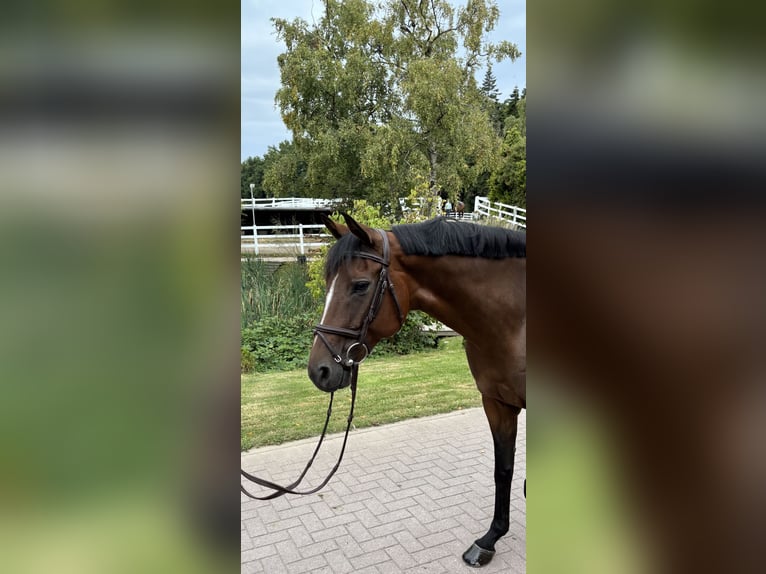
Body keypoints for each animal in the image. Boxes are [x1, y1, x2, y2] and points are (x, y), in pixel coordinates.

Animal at [308, 212, 526, 567]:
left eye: (360, 285)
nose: (319, 370)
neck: (514, 320)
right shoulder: (496, 402)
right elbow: (503, 469)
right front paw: (489, 540)